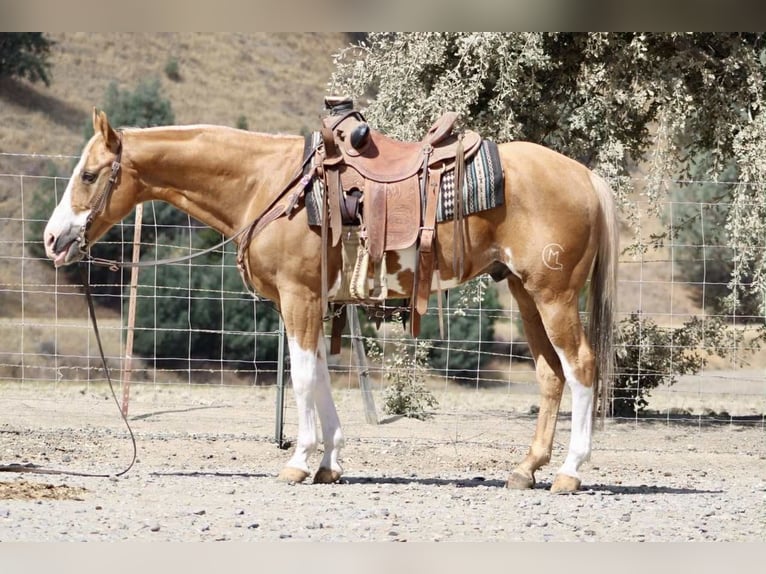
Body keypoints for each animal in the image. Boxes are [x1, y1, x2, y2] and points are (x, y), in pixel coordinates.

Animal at [44, 108, 618, 493]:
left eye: (89, 175)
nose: (53, 239)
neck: (271, 186)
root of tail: (585, 176)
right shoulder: (313, 303)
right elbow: (318, 376)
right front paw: (329, 463)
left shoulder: (298, 299)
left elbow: (301, 379)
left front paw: (298, 461)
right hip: (525, 293)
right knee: (550, 373)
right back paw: (526, 469)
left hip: (554, 296)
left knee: (582, 367)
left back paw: (570, 471)